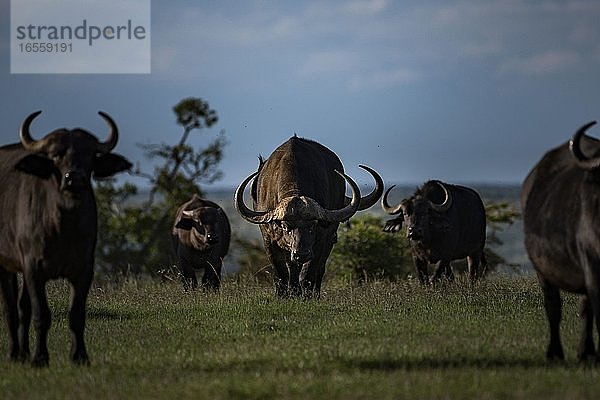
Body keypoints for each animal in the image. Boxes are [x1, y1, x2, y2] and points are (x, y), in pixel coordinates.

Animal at [0, 111, 131, 368]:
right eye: (56, 154)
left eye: (89, 155)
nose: (74, 178)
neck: (63, 227)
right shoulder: (34, 268)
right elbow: (42, 314)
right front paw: (40, 358)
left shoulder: (84, 269)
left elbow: (76, 314)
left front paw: (79, 356)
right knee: (10, 307)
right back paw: (14, 354)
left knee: (22, 307)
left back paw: (23, 352)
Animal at [233, 136, 380, 296]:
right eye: (285, 226)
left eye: (313, 224)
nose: (301, 254)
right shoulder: (269, 240)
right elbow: (281, 274)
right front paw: (284, 295)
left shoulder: (321, 240)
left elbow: (308, 273)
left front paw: (308, 295)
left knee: (317, 270)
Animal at [520, 120, 600, 360]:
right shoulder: (593, 266)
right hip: (544, 270)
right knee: (553, 307)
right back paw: (555, 352)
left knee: (584, 309)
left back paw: (586, 352)